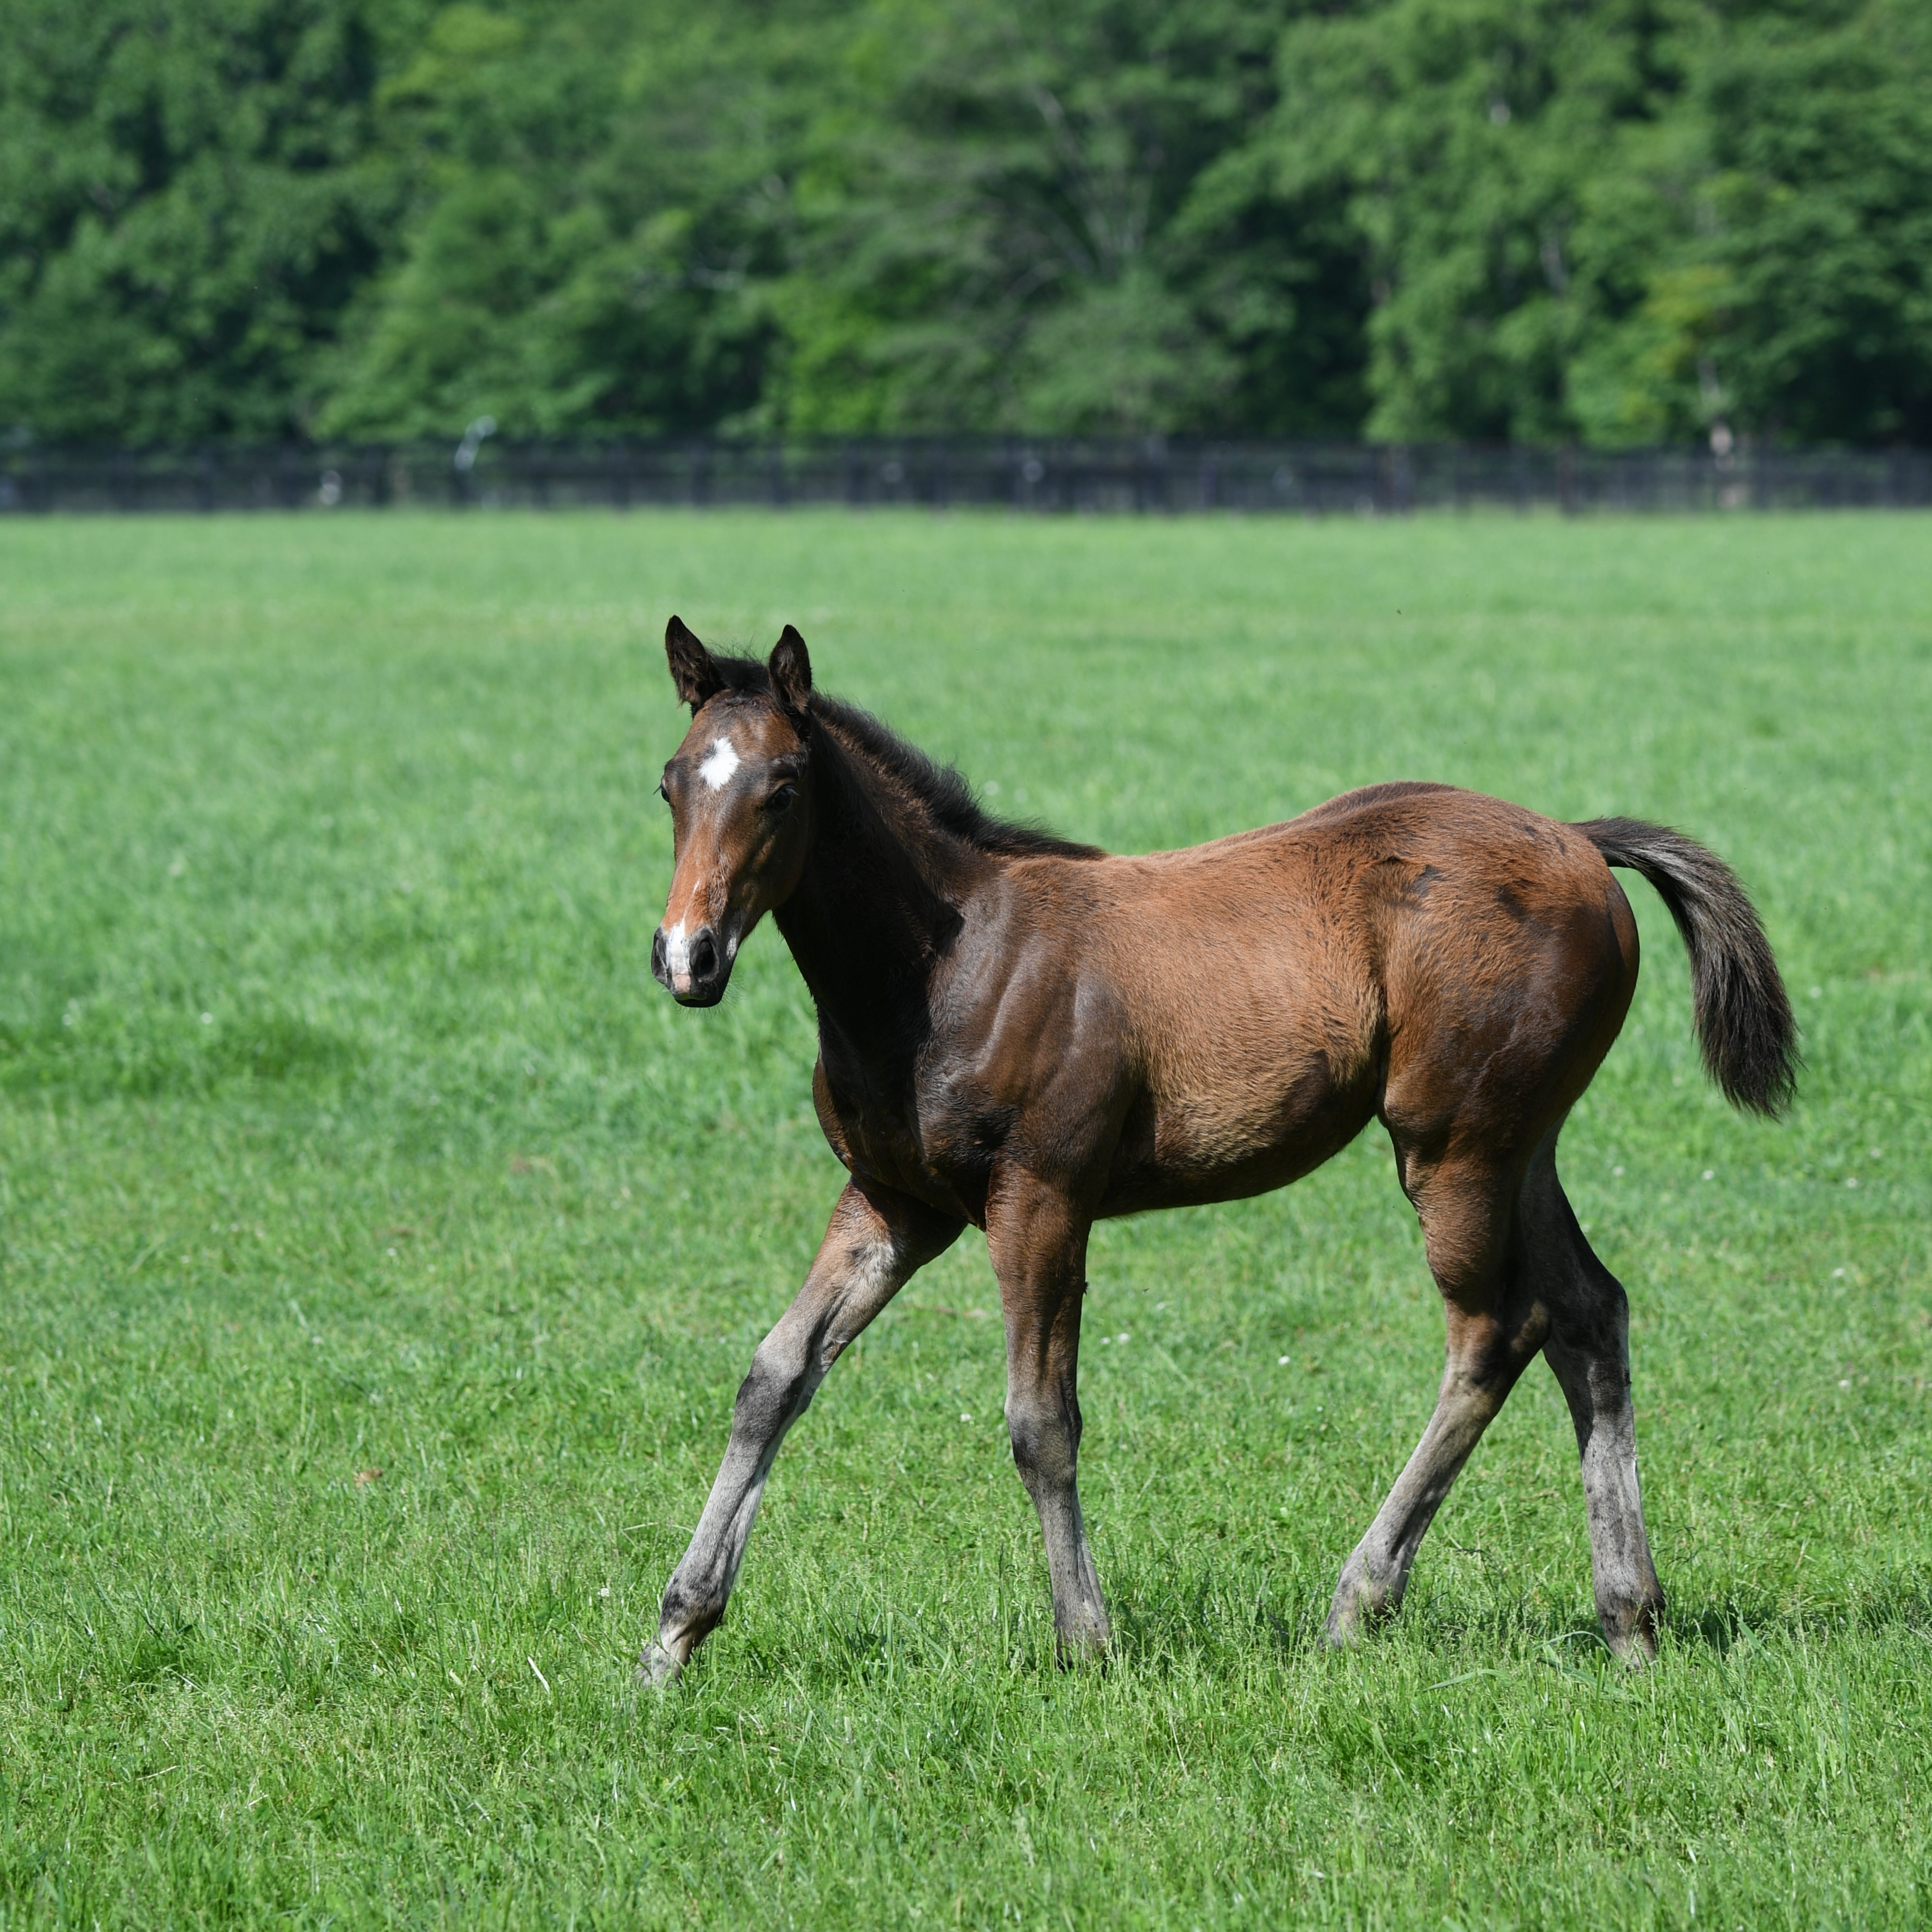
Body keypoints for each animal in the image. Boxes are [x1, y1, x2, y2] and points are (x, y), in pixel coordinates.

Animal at [633, 626, 1793, 1684]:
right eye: (670, 783)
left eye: (782, 789)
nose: (688, 957)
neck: (947, 964)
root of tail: (1577, 840)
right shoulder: (891, 1201)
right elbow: (774, 1374)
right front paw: (674, 1632)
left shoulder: (1040, 1198)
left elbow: (1040, 1420)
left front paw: (1086, 1638)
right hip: (1522, 1143)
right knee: (1589, 1314)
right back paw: (1629, 1618)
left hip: (1453, 1146)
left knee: (1496, 1332)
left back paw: (1358, 1600)